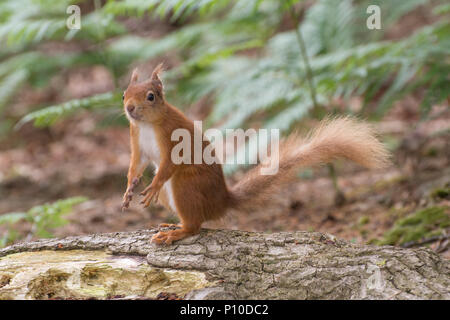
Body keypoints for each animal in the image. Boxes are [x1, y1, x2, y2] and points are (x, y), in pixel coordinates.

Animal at [121, 65, 388, 245]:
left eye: (150, 96)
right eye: (124, 93)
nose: (129, 108)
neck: (147, 124)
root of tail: (221, 200)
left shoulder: (172, 138)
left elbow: (169, 163)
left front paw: (153, 186)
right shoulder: (136, 141)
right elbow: (135, 165)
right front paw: (129, 190)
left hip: (185, 186)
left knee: (195, 226)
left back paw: (177, 232)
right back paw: (173, 224)